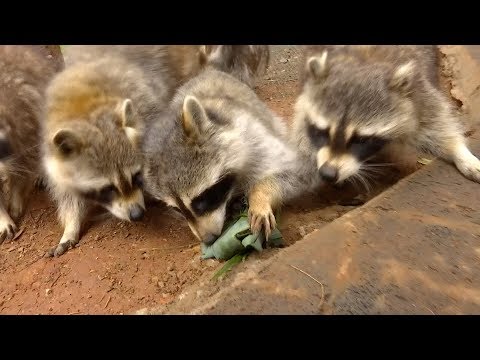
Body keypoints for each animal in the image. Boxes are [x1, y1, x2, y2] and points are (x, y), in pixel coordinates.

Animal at [41, 45, 199, 258]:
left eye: (136, 175)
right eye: (107, 188)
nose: (137, 214)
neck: (84, 106)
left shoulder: (148, 105)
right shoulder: (53, 151)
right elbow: (66, 192)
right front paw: (71, 225)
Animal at [144, 67, 306, 242]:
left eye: (202, 199)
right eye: (177, 209)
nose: (208, 240)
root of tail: (209, 71)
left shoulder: (253, 138)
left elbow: (291, 172)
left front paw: (260, 196)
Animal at [292, 46, 480, 187]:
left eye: (361, 139)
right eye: (322, 132)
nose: (328, 174)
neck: (363, 63)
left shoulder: (417, 93)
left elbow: (438, 124)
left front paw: (459, 152)